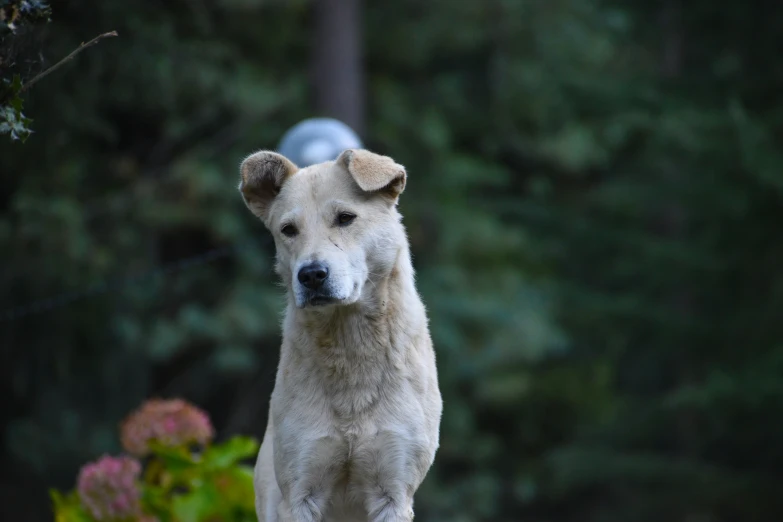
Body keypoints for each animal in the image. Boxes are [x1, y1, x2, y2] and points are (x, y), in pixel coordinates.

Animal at [239, 147, 444, 520]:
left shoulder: (394, 491)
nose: (311, 275)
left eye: (346, 218)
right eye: (288, 230)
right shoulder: (300, 490)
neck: (349, 339)